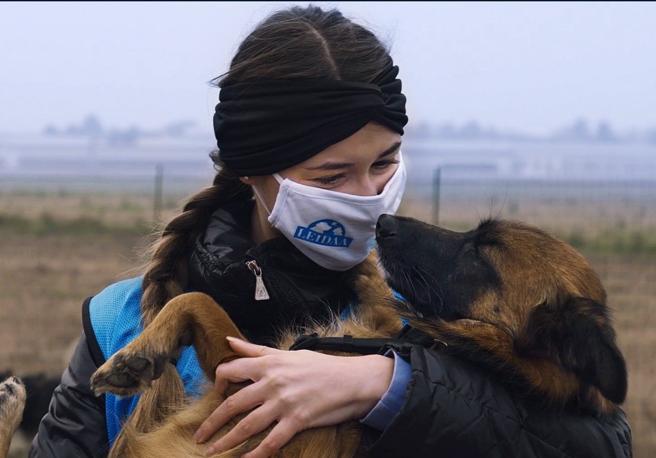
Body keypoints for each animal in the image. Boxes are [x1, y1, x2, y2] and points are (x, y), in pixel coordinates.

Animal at [89, 216, 628, 458]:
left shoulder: (245, 392)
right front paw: (136, 356)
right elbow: (195, 301)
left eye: (480, 251)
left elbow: (196, 301)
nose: (384, 222)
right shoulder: (246, 368)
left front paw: (136, 359)